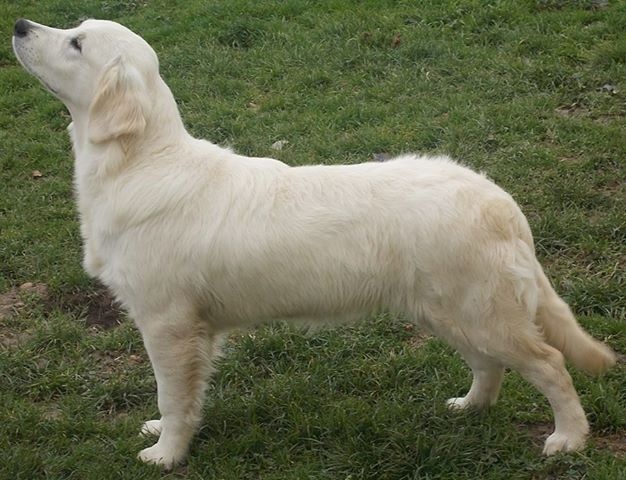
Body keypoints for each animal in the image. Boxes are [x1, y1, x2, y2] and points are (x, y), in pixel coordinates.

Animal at [12, 18, 616, 468]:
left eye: (76, 42)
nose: (19, 24)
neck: (139, 162)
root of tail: (500, 200)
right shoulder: (189, 329)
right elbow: (182, 396)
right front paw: (163, 432)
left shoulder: (168, 323)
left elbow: (173, 394)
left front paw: (166, 453)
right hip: (449, 313)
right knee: (490, 367)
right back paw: (470, 407)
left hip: (482, 313)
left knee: (550, 363)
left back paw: (569, 438)